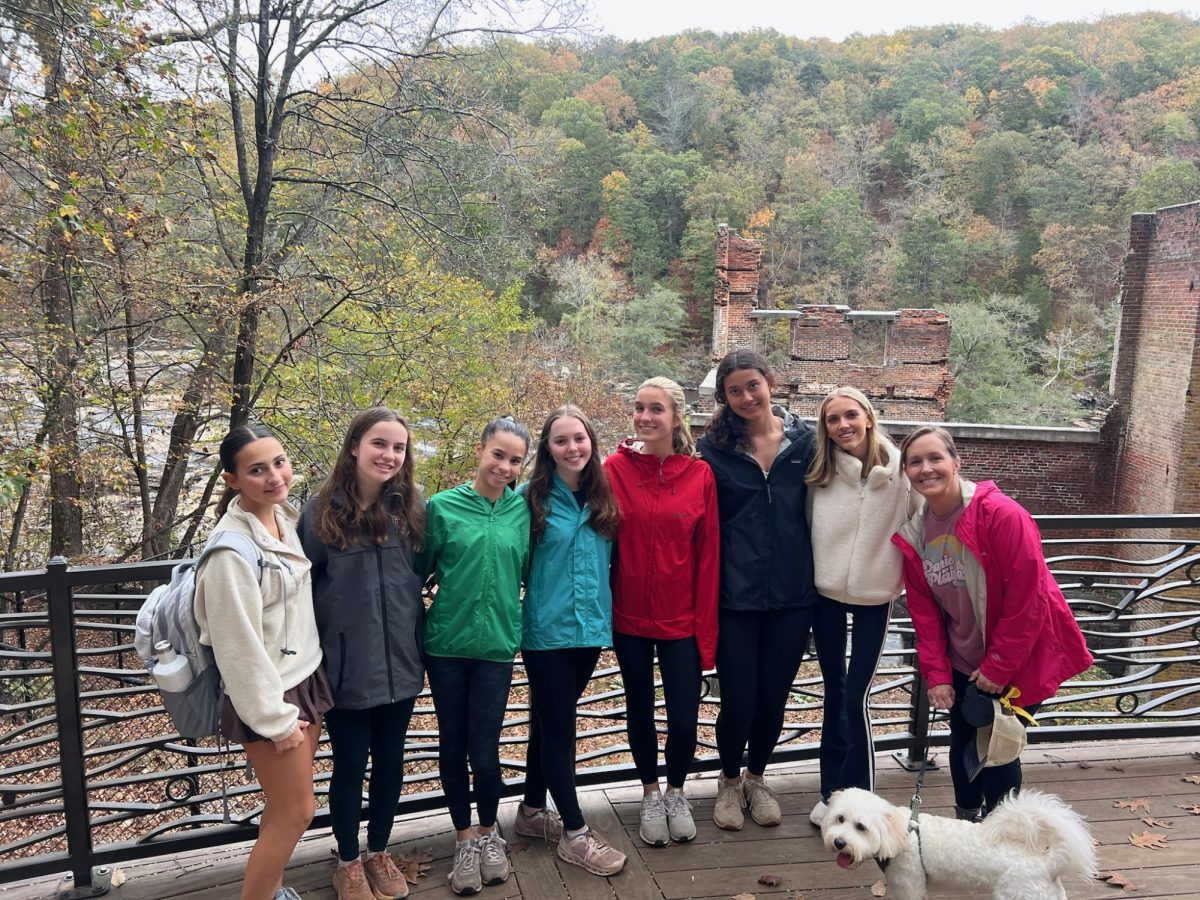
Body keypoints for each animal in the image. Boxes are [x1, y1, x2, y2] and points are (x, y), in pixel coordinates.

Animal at [825, 787, 1099, 900]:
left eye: (861, 827)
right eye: (840, 819)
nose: (838, 842)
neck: (902, 835)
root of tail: (1049, 862)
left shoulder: (911, 889)